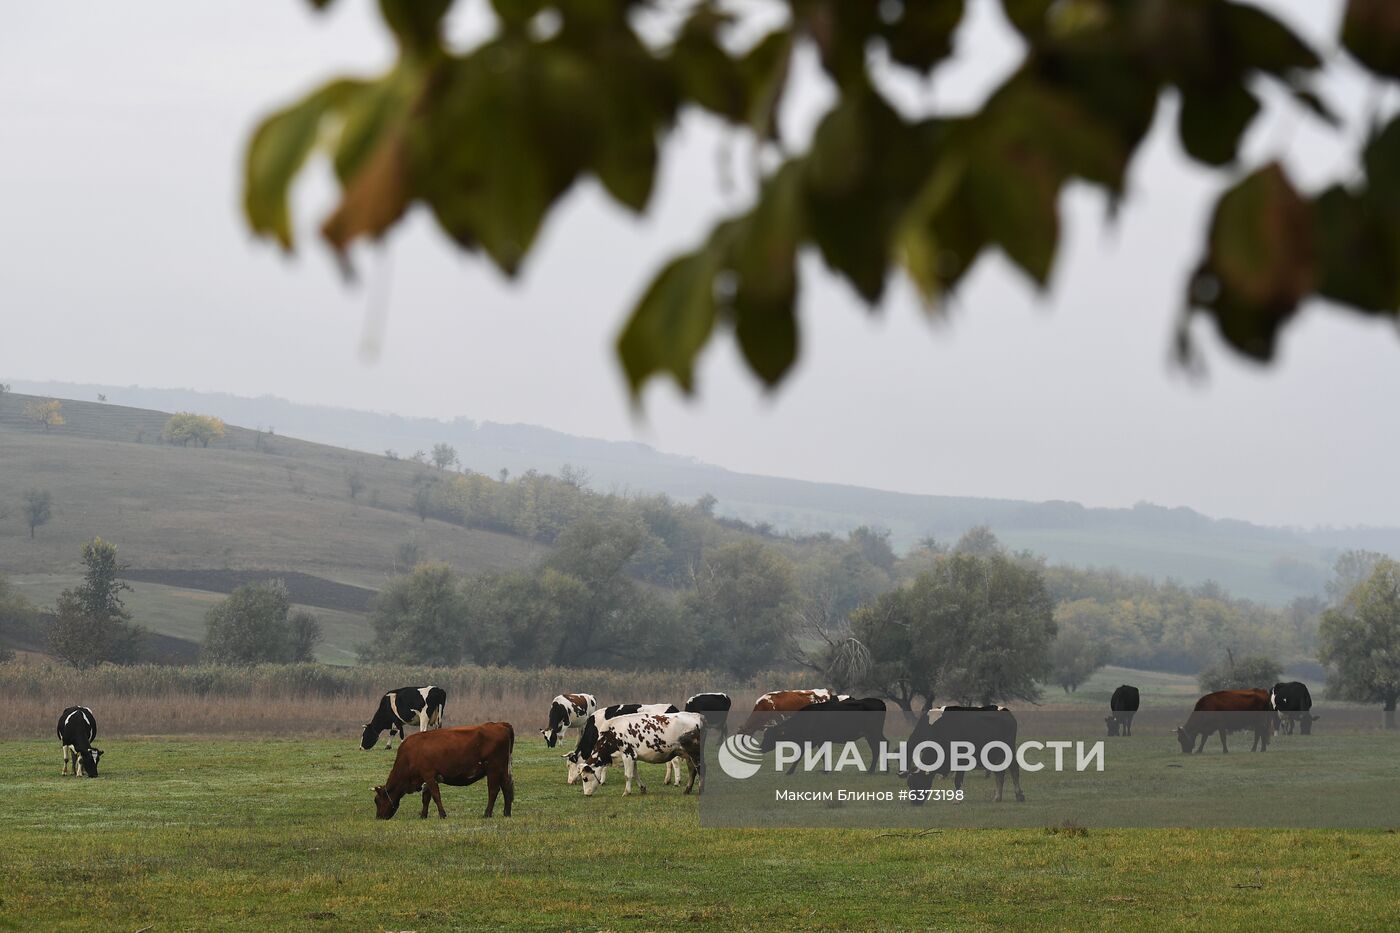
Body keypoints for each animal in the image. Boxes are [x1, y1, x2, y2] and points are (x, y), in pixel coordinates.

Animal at [375, 717, 518, 812]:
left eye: (377, 801)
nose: (379, 817)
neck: (410, 754)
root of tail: (501, 724)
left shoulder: (428, 775)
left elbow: (435, 795)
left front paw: (442, 814)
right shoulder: (427, 777)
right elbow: (426, 797)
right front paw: (423, 815)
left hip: (493, 769)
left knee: (493, 790)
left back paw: (487, 813)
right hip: (503, 770)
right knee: (507, 787)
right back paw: (507, 813)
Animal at [579, 708, 711, 795]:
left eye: (585, 778)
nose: (586, 794)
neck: (612, 733)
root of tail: (698, 716)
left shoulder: (627, 754)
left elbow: (628, 775)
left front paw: (626, 792)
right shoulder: (633, 756)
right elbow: (635, 773)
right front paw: (642, 788)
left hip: (695, 753)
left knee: (701, 768)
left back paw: (700, 789)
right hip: (687, 754)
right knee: (692, 770)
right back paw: (687, 789)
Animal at [756, 697, 884, 767]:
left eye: (770, 736)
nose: (761, 748)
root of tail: (879, 702)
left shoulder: (818, 739)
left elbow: (821, 755)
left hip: (873, 733)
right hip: (872, 735)